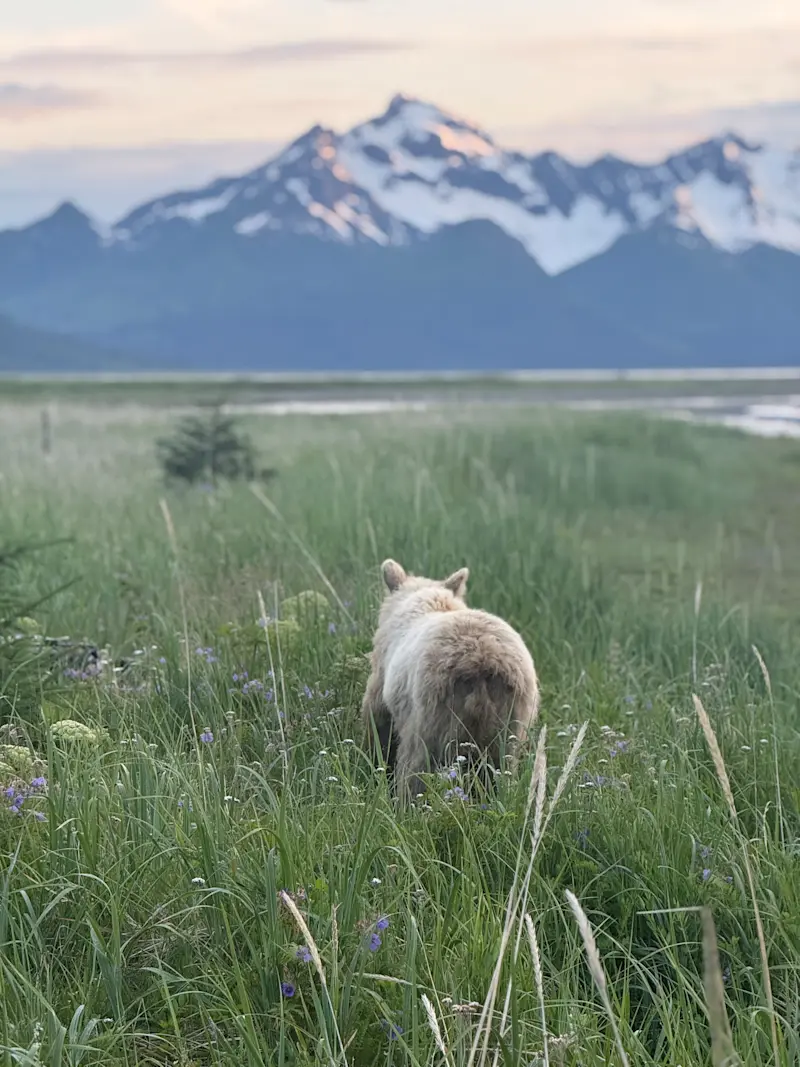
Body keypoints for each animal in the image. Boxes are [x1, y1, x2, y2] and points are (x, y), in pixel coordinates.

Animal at [361, 559, 539, 801]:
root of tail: (481, 663)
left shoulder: (384, 677)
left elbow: (378, 720)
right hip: (512, 716)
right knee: (499, 767)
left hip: (432, 711)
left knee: (417, 763)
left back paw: (407, 801)